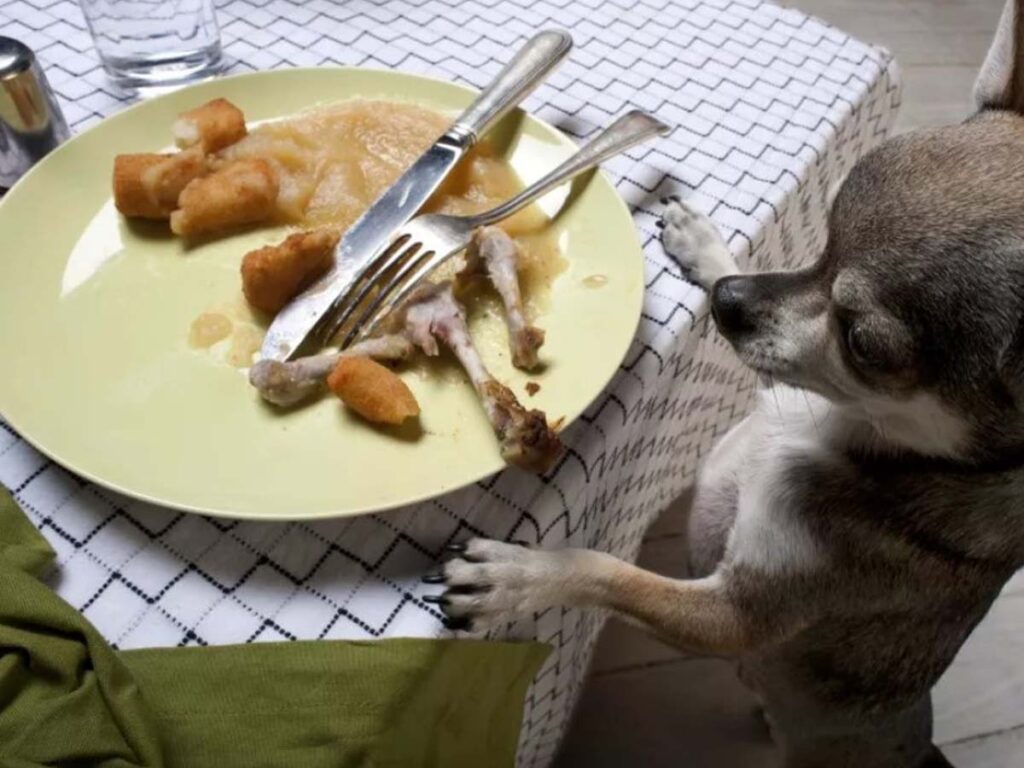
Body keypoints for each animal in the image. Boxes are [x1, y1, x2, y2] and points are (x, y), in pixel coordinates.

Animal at [421, 3, 1024, 765]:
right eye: (821, 246)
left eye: (863, 344)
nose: (727, 304)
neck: (845, 431)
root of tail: (919, 747)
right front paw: (705, 248)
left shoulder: (732, 616)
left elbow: (605, 570)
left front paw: (515, 578)